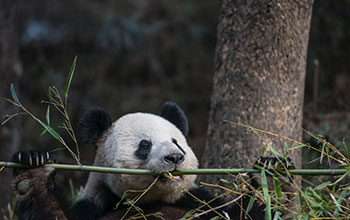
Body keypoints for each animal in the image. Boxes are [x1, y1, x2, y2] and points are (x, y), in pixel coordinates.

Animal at [11, 102, 268, 220]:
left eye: (176, 142)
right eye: (145, 145)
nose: (175, 157)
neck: (151, 200)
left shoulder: (199, 203)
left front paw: (267, 173)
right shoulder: (97, 205)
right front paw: (33, 168)